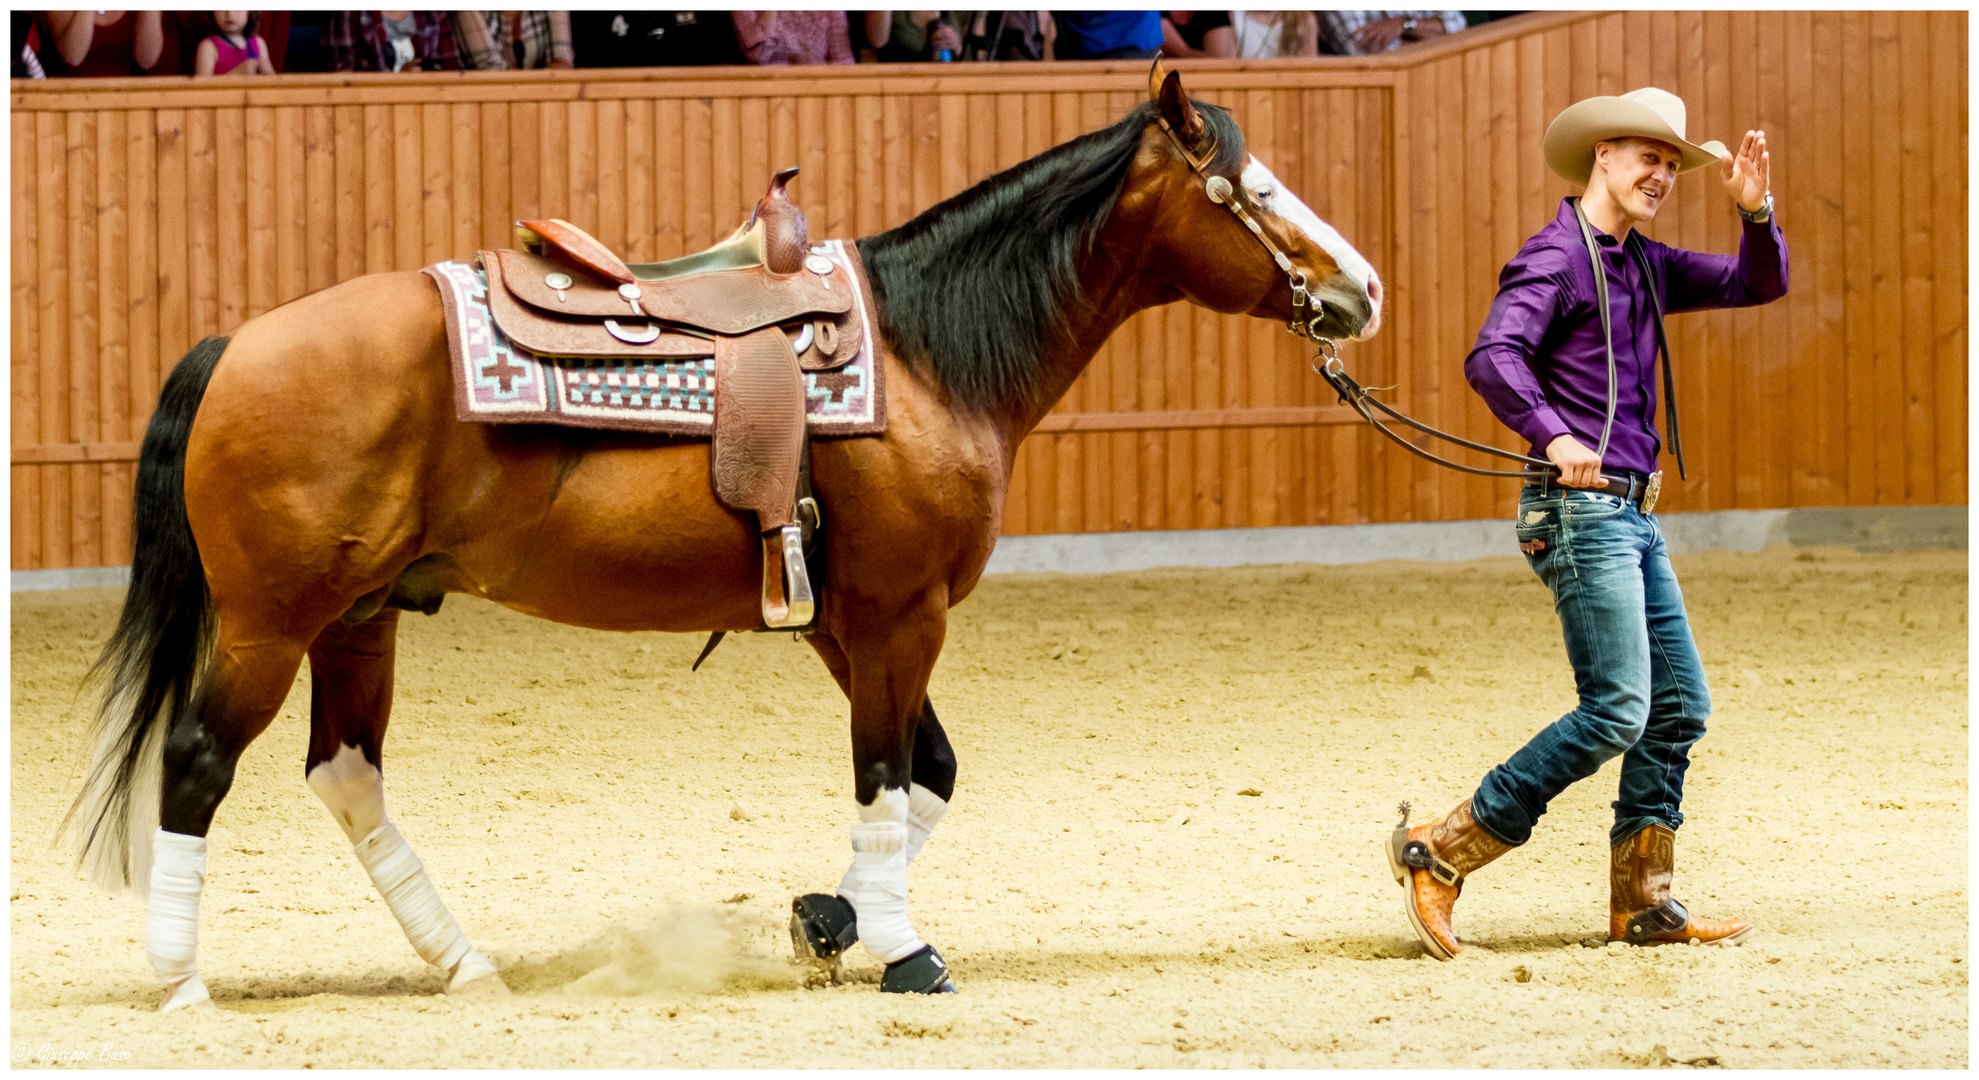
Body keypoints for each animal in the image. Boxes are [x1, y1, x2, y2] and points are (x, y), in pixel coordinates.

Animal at [69, 65, 1385, 1008]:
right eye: (1252, 192)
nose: (1362, 291)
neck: (924, 354)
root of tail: (237, 345)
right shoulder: (900, 615)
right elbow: (885, 774)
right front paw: (901, 949)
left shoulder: (842, 622)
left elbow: (926, 774)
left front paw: (832, 920)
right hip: (270, 624)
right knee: (197, 763)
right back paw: (181, 981)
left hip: (359, 620)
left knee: (347, 777)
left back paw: (462, 962)